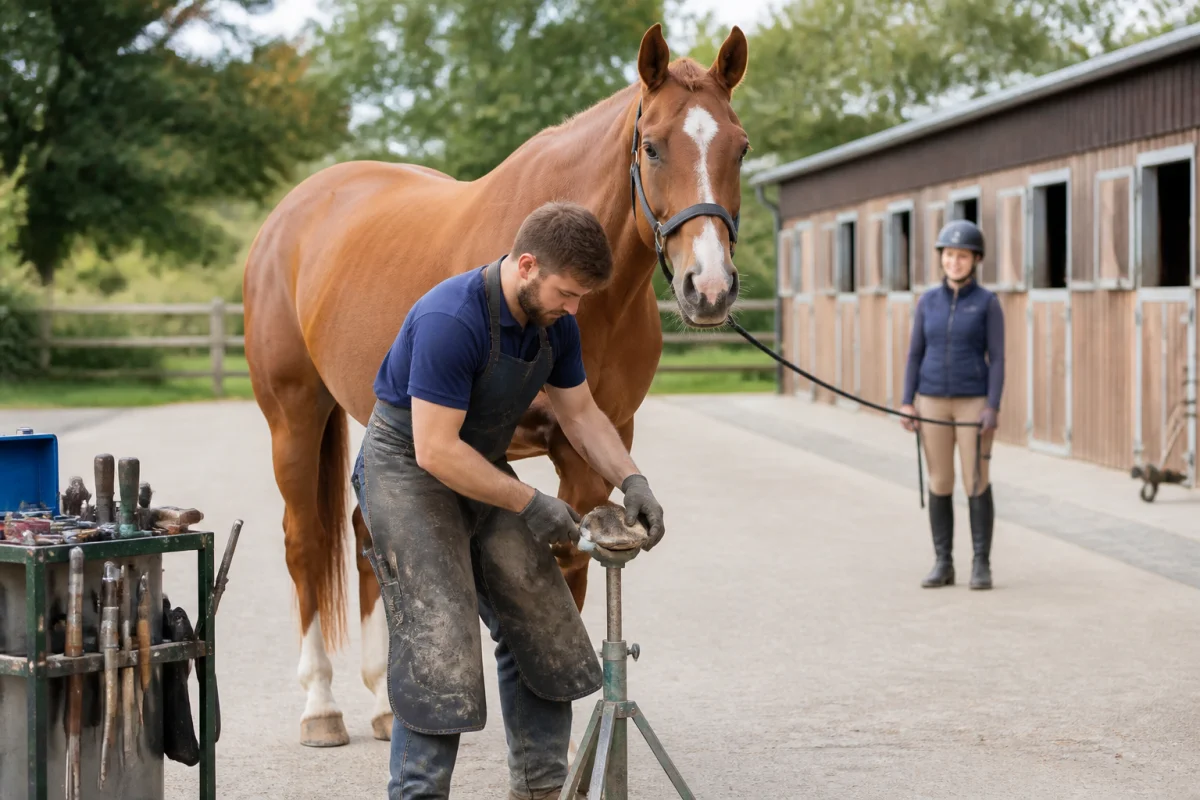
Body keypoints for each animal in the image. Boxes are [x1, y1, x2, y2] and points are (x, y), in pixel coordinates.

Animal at [242, 22, 751, 747]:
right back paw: (321, 705)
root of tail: (294, 212)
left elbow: (570, 571)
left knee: (367, 534)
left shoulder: (592, 444)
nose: (708, 288)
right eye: (653, 145)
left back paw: (385, 702)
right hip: (294, 414)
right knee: (305, 539)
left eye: (740, 147)